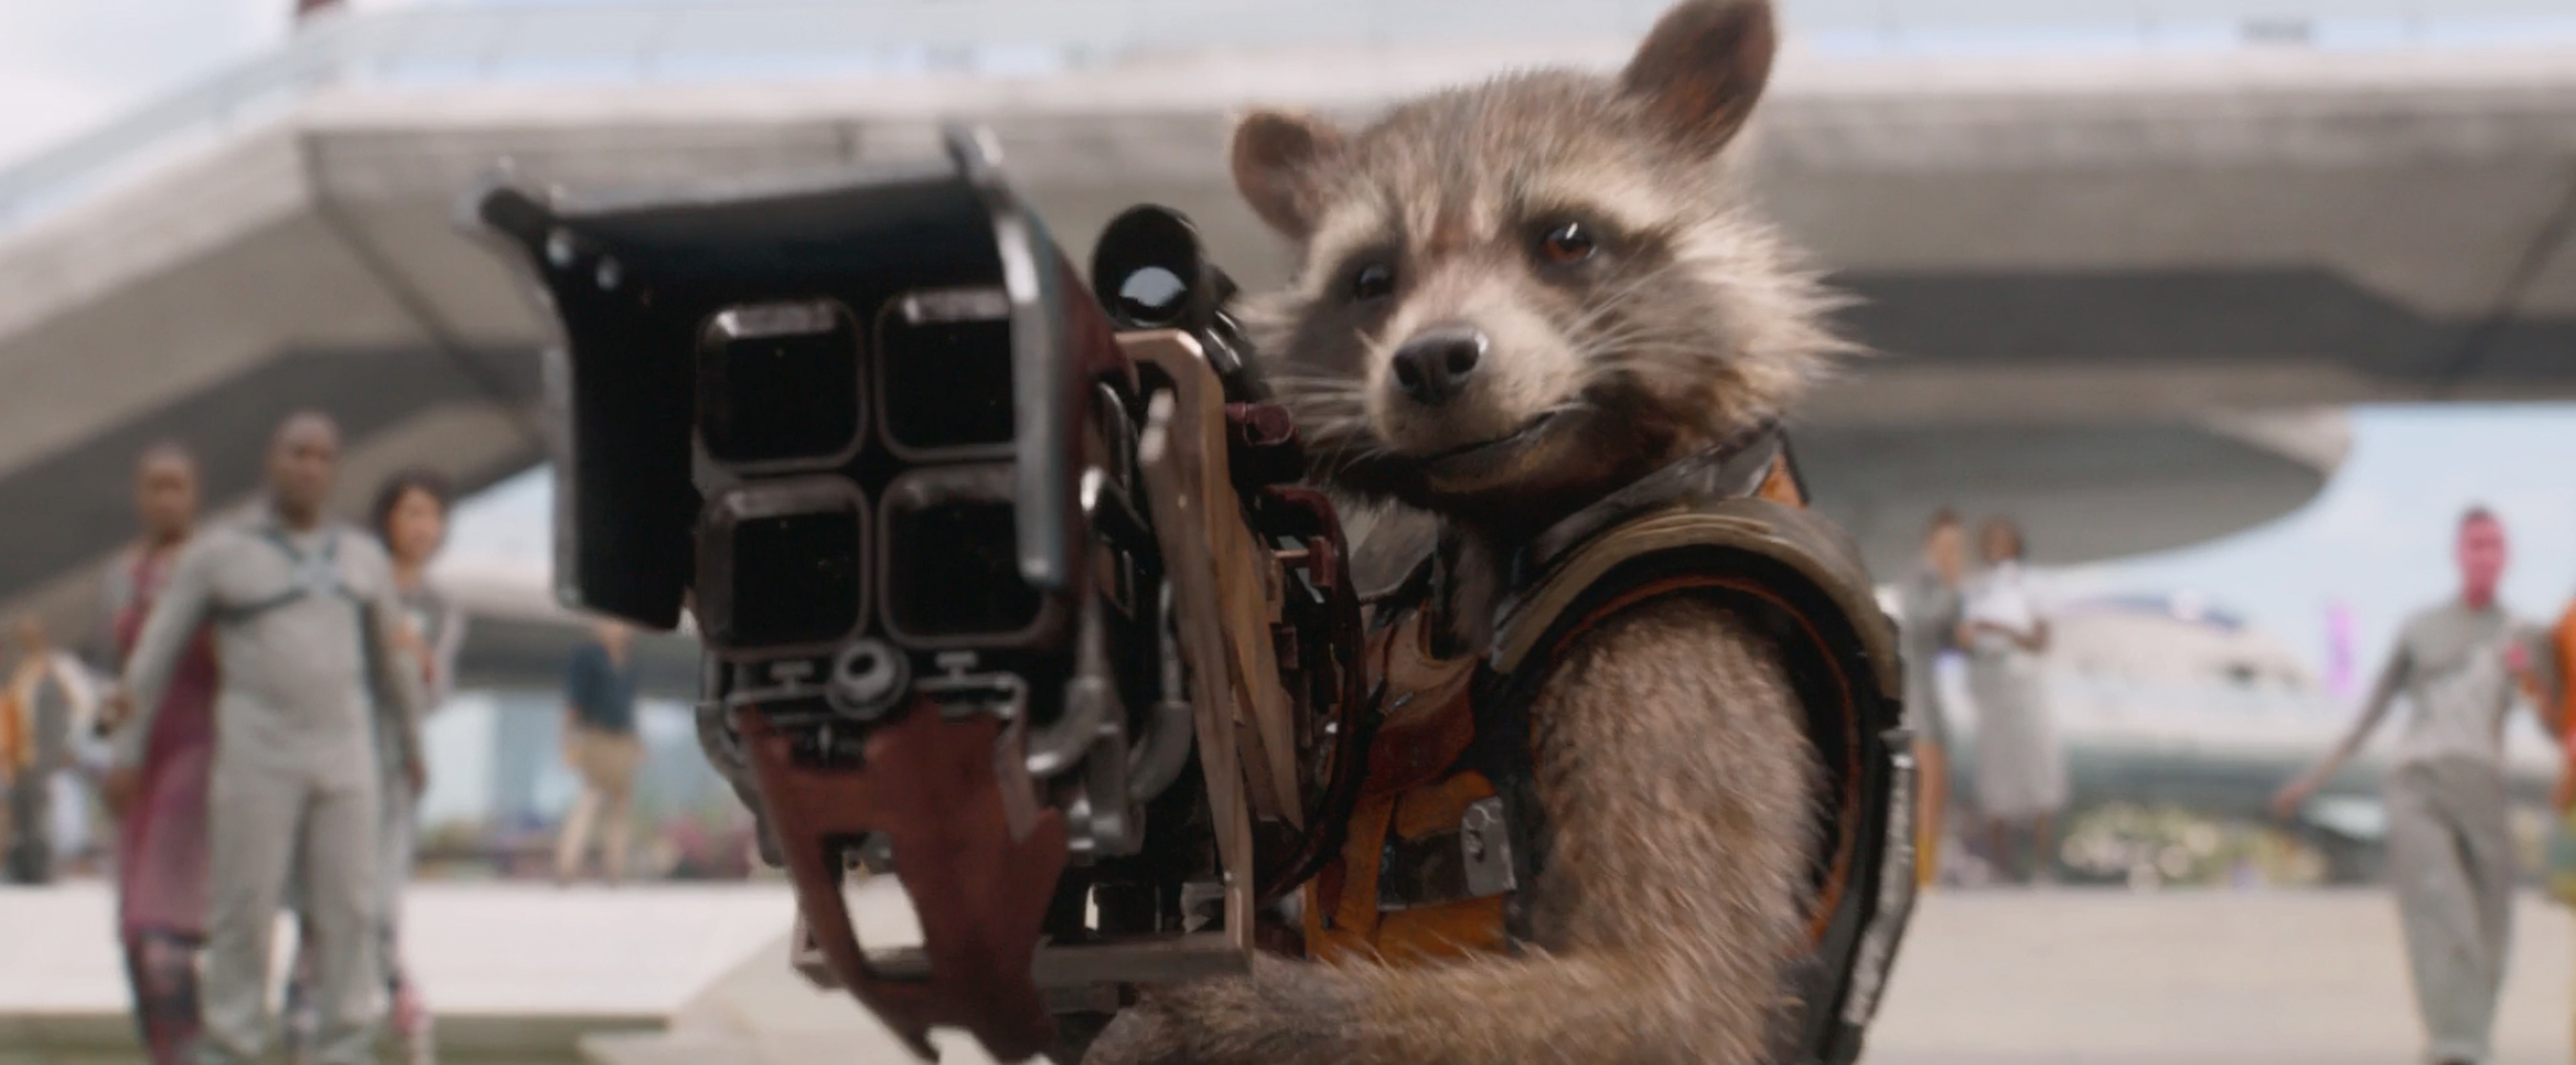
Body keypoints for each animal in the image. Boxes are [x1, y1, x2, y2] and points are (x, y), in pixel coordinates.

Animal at [1083, 2, 1854, 1063]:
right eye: (1372, 277)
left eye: (1564, 239)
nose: (1434, 360)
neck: (1520, 509)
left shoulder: (1673, 648)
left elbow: (1663, 1000)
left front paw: (1205, 1012)